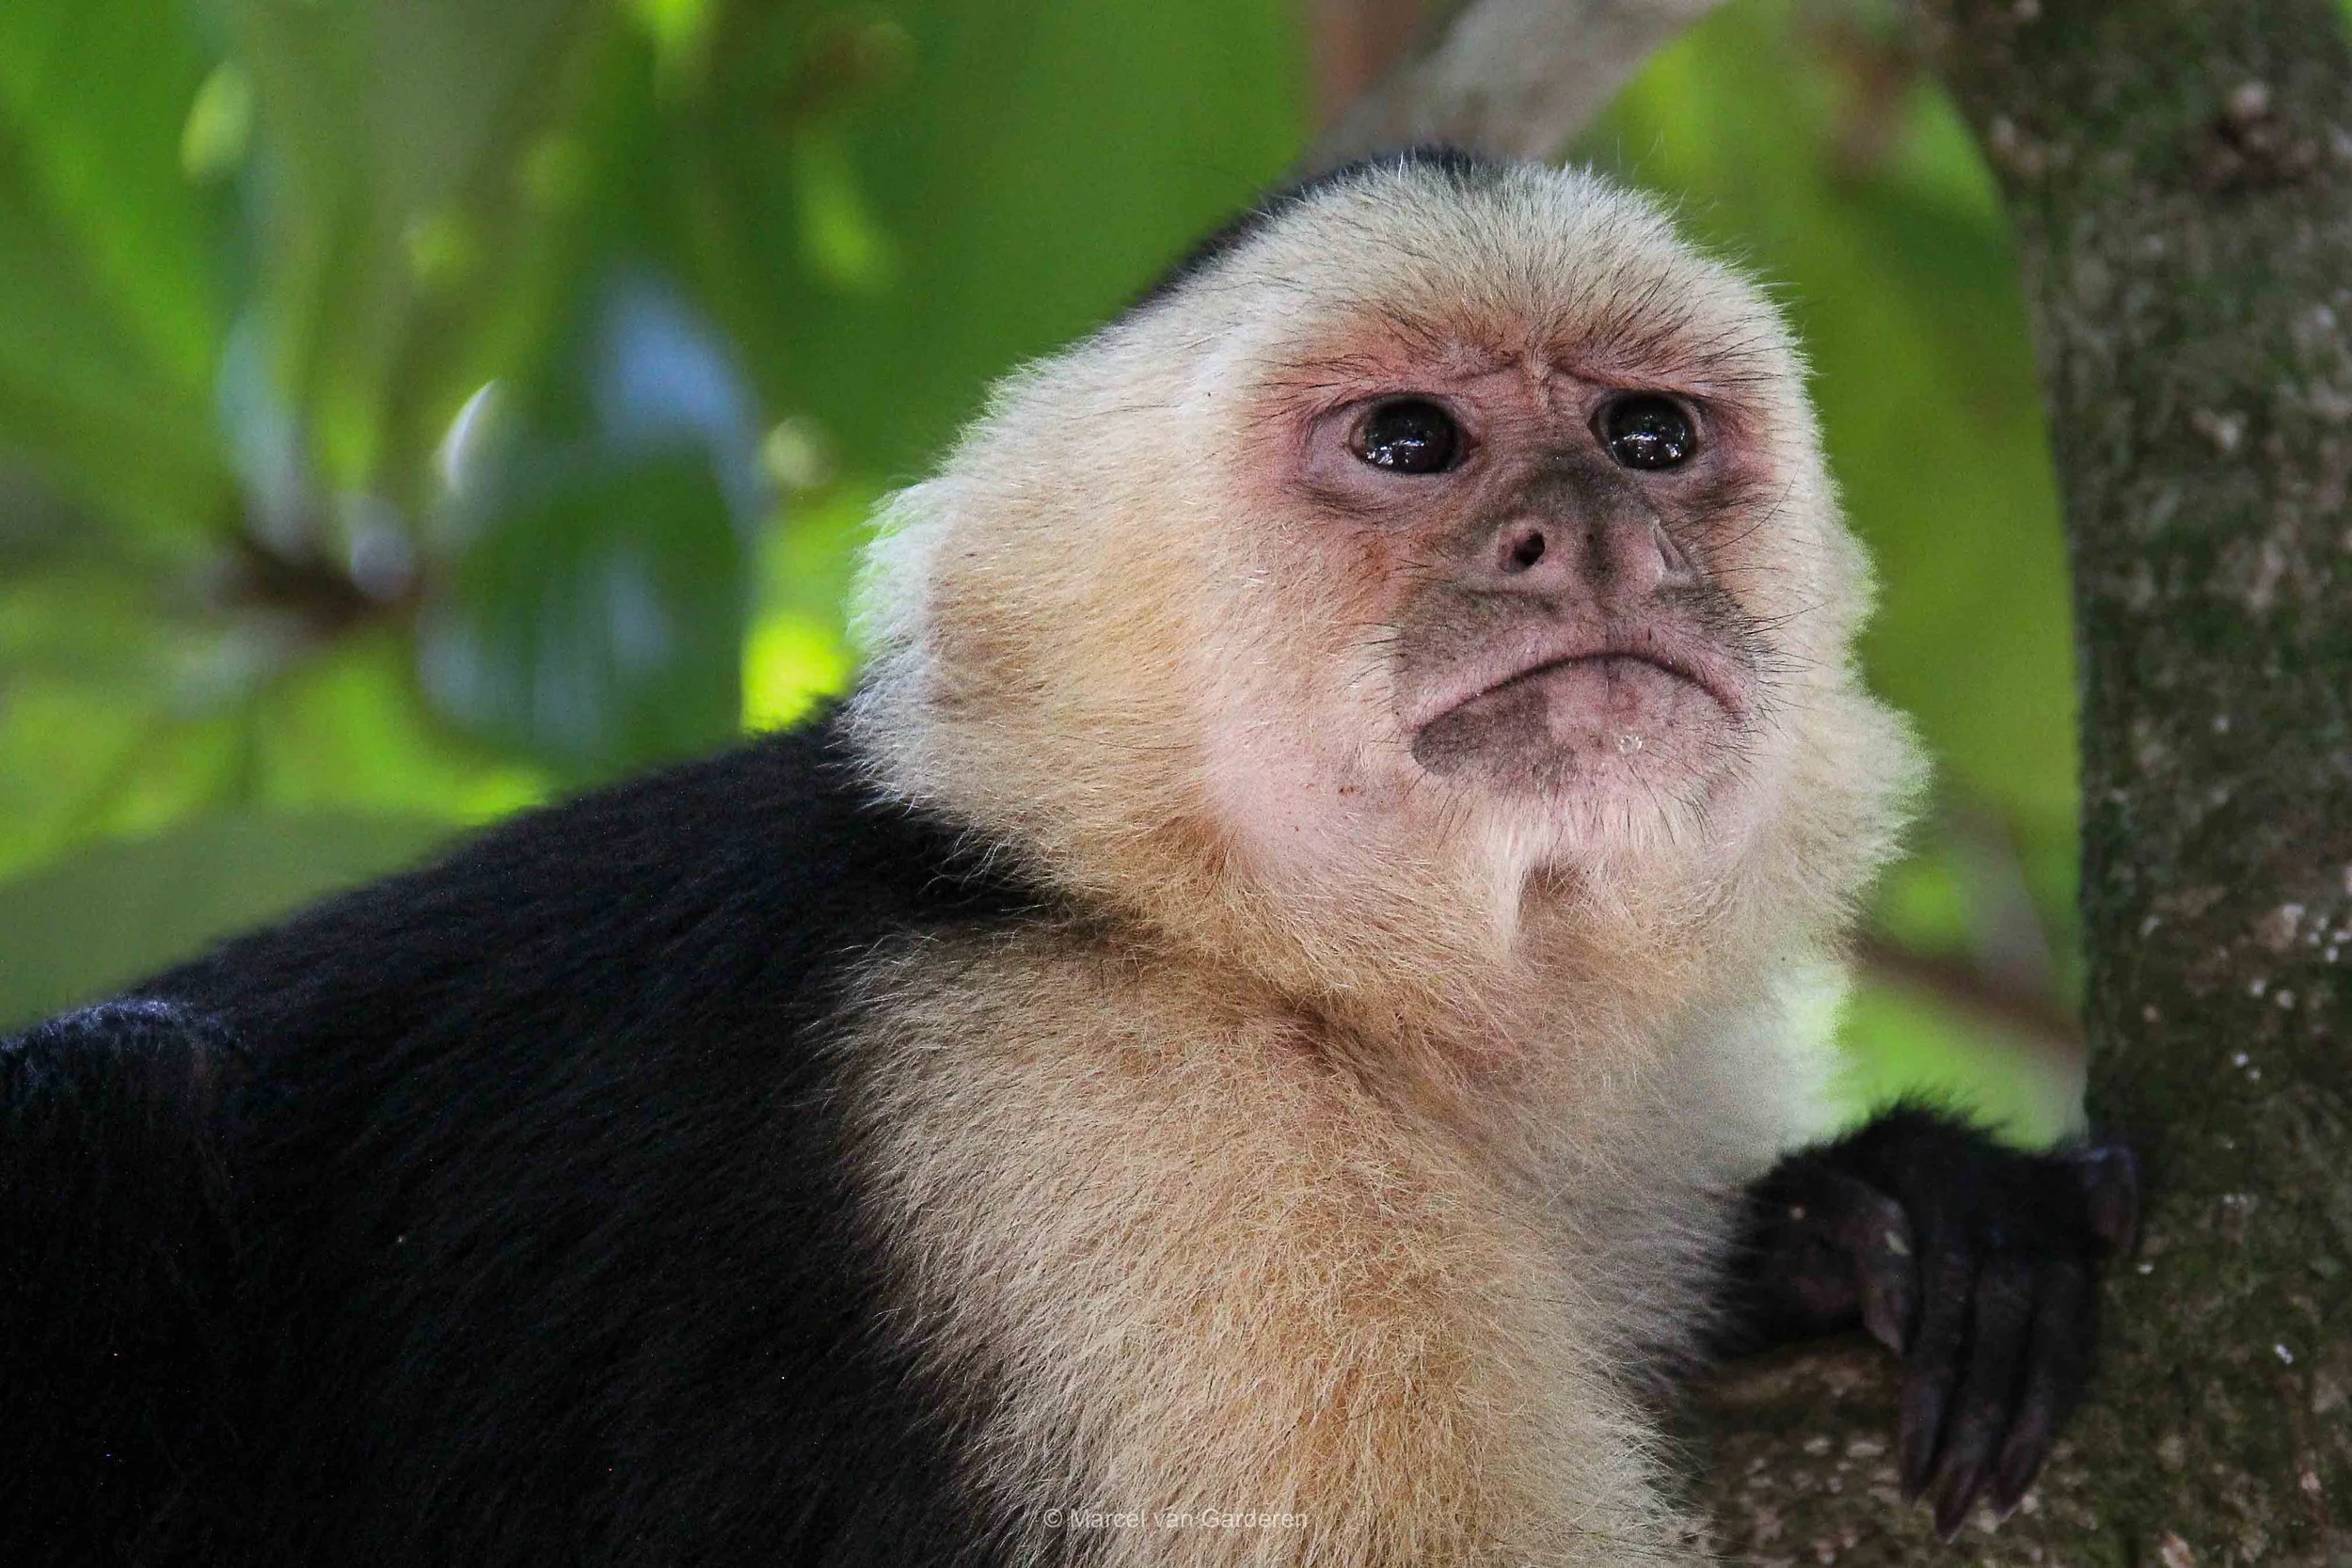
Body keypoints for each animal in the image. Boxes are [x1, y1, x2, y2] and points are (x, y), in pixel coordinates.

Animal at [2, 147, 2135, 1566]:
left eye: (1649, 435)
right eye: (1409, 441)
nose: (1592, 536)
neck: (1251, 950)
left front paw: (1901, 1218)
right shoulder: (1111, 1139)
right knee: (113, 1099)